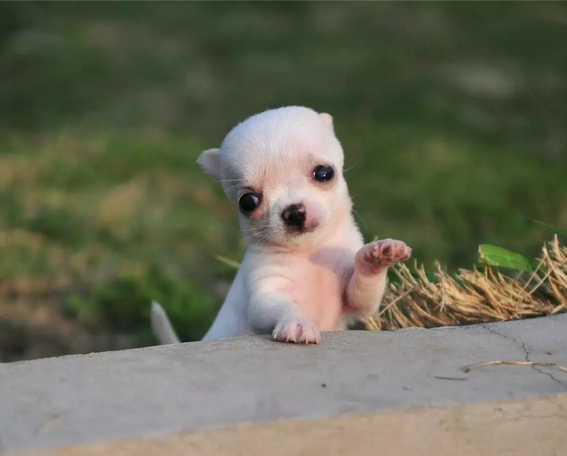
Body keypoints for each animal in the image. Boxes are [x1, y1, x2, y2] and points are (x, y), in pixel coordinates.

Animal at [152, 105, 412, 344]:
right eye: (248, 202)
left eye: (324, 173)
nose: (294, 212)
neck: (310, 251)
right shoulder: (266, 294)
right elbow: (284, 306)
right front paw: (297, 323)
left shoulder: (353, 300)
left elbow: (364, 288)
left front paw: (378, 256)